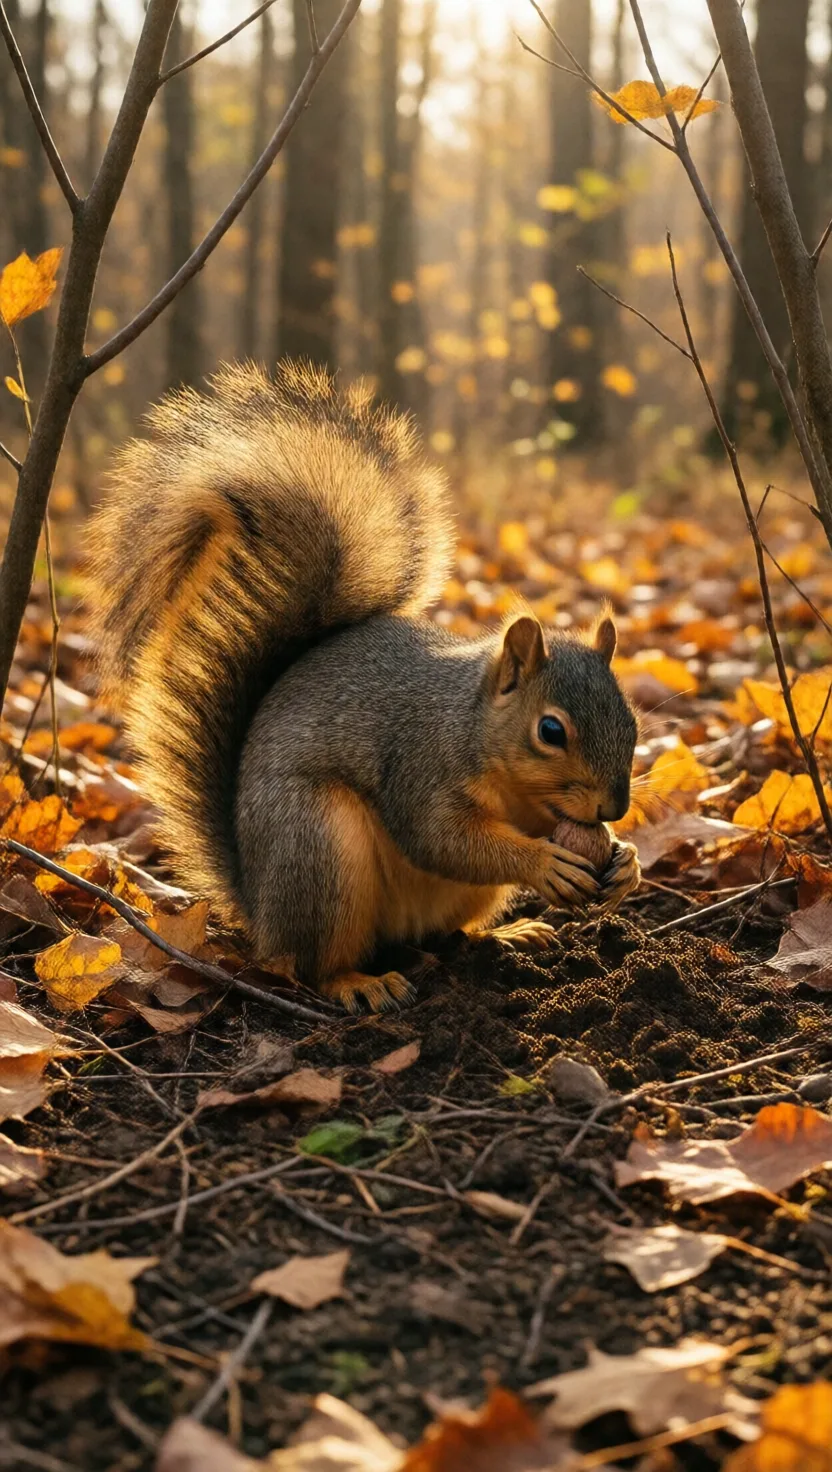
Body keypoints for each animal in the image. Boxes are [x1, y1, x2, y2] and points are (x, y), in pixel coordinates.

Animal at [88, 360, 640, 1012]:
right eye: (551, 730)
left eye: (632, 721)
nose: (615, 807)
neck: (474, 727)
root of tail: (259, 911)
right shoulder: (420, 764)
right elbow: (442, 839)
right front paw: (541, 863)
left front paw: (626, 861)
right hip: (321, 848)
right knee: (312, 965)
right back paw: (359, 983)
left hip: (441, 894)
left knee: (446, 934)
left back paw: (506, 935)